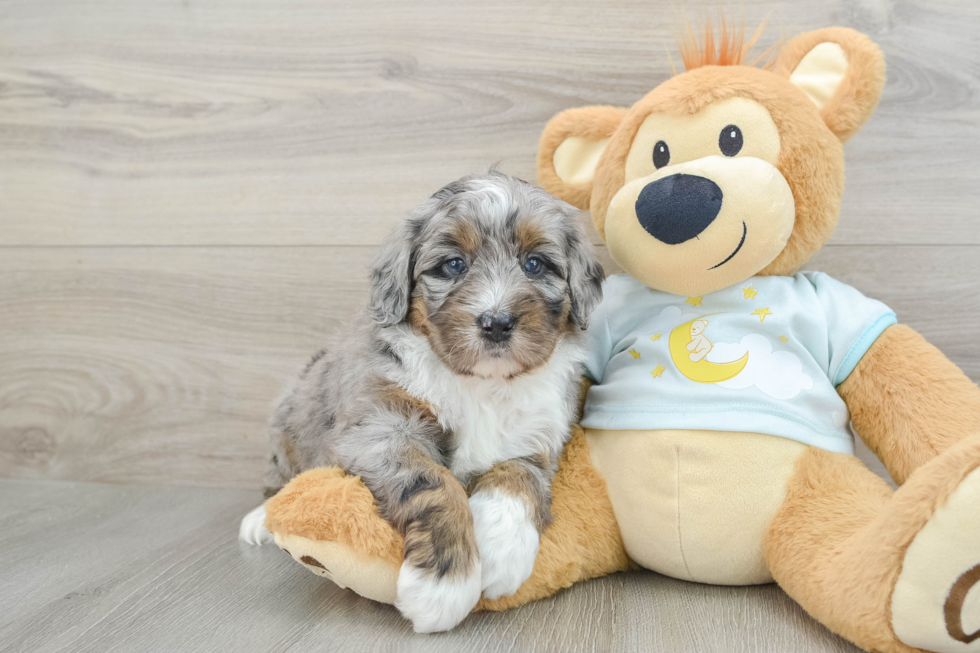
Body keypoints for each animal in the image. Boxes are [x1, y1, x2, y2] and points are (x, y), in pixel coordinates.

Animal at [241, 172, 600, 632]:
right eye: (453, 265)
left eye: (535, 264)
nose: (496, 322)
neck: (480, 384)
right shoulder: (380, 427)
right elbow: (431, 481)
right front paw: (444, 584)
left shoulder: (538, 436)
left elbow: (520, 479)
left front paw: (502, 550)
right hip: (287, 421)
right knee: (277, 479)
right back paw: (259, 520)